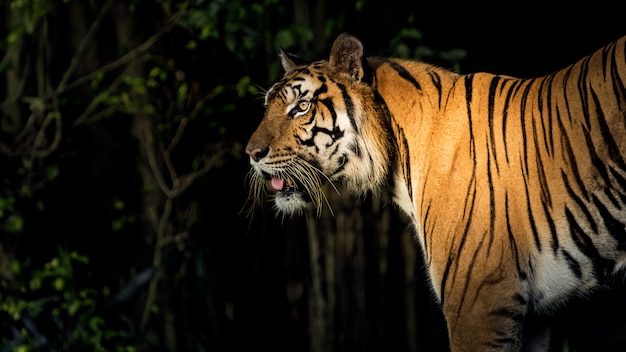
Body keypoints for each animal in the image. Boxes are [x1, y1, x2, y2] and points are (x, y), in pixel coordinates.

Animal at [243, 31, 624, 350]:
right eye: (268, 106)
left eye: (301, 107)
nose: (251, 153)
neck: (397, 158)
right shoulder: (534, 316)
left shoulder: (479, 304)